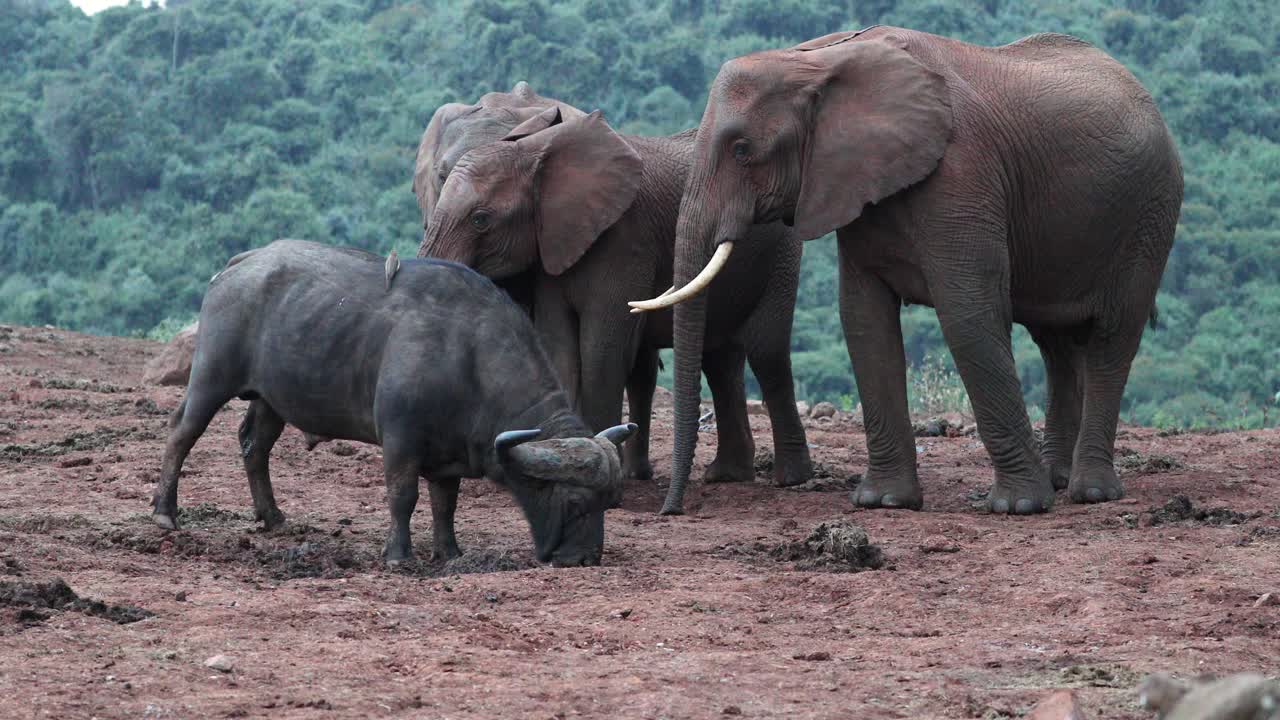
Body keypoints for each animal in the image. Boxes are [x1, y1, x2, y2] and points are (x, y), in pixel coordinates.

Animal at [417, 102, 813, 508]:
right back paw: (726, 475)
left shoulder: (625, 239)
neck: (537, 151)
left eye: (481, 219)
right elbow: (558, 344)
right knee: (719, 360)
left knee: (766, 352)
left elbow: (601, 349)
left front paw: (603, 475)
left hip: (780, 253)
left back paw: (791, 479)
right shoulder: (551, 249)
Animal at [630, 26, 1183, 515]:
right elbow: (863, 319)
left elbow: (967, 314)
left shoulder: (962, 172)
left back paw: (1090, 492)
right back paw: (1059, 479)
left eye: (742, 151)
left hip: (1151, 212)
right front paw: (885, 502)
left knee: (1113, 336)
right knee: (1055, 343)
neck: (818, 59)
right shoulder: (850, 183)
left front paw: (1020, 507)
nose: (671, 511)